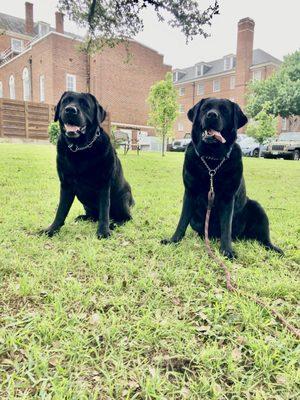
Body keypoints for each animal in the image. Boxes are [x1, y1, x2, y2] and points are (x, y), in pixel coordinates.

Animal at [40, 92, 134, 239]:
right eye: (66, 101)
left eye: (85, 104)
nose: (70, 110)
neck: (80, 149)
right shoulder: (66, 185)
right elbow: (61, 210)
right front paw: (52, 229)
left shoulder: (104, 185)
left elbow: (104, 211)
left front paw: (103, 232)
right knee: (94, 216)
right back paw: (84, 217)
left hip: (122, 198)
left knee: (125, 218)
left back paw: (114, 223)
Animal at [163, 98, 282, 258]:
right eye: (205, 108)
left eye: (225, 110)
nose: (211, 115)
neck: (212, 160)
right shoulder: (190, 193)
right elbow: (182, 221)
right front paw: (173, 240)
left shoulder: (227, 198)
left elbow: (226, 227)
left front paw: (227, 250)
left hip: (258, 208)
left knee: (264, 238)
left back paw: (274, 248)